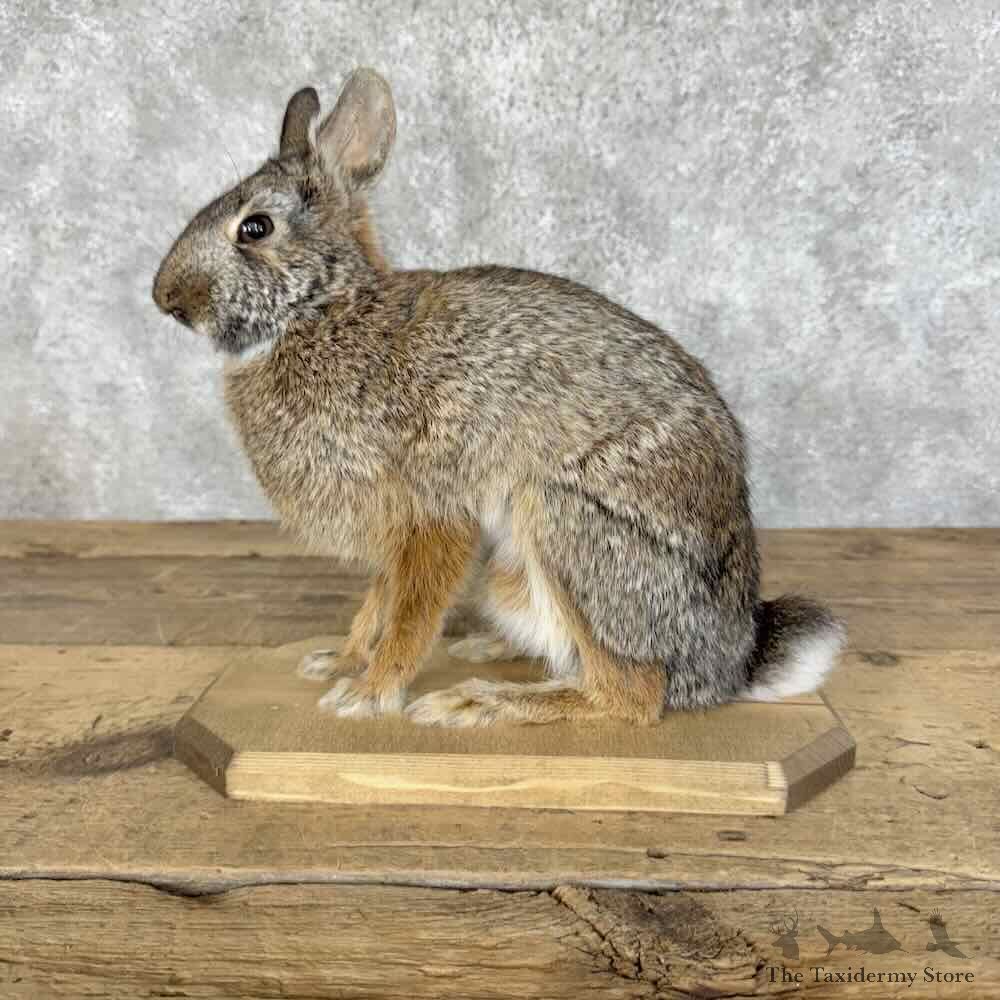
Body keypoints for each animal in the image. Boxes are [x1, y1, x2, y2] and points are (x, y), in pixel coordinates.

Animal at [153, 67, 846, 727]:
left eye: (255, 227)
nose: (166, 299)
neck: (325, 310)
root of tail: (729, 668)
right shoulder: (393, 527)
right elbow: (378, 599)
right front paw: (340, 661)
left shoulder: (432, 509)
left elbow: (410, 611)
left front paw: (370, 694)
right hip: (514, 572)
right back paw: (486, 651)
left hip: (570, 530)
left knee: (630, 697)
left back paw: (477, 703)